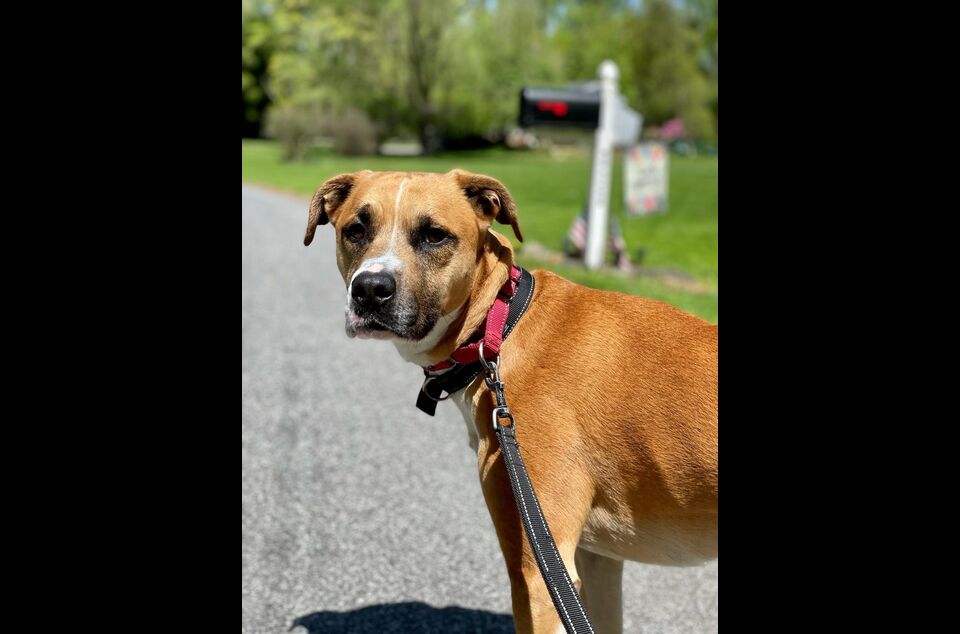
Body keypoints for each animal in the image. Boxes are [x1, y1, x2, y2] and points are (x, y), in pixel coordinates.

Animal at [304, 169, 718, 634]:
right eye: (355, 231)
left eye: (434, 235)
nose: (371, 289)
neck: (500, 328)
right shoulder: (596, 560)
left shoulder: (538, 573)